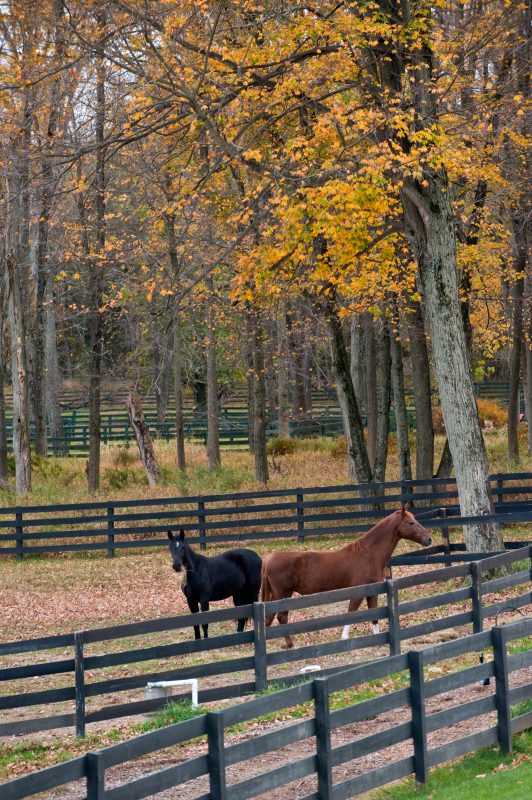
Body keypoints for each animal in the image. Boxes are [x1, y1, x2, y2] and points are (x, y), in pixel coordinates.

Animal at [260, 506, 432, 648]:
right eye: (411, 522)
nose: (428, 539)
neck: (368, 555)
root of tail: (268, 558)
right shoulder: (358, 591)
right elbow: (352, 613)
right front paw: (344, 638)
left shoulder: (372, 591)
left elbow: (374, 615)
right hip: (282, 595)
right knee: (280, 618)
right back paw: (289, 644)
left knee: (270, 618)